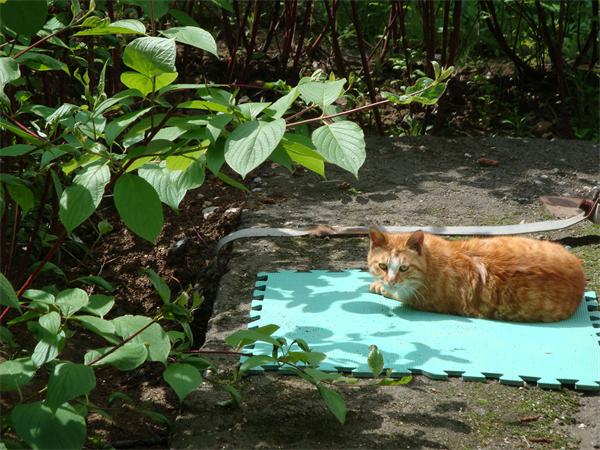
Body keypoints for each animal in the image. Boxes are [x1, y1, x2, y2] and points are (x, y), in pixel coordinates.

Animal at [366, 230, 584, 322]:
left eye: (404, 268)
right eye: (383, 266)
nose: (391, 281)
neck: (431, 261)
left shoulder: (419, 299)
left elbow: (399, 295)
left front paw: (380, 287)